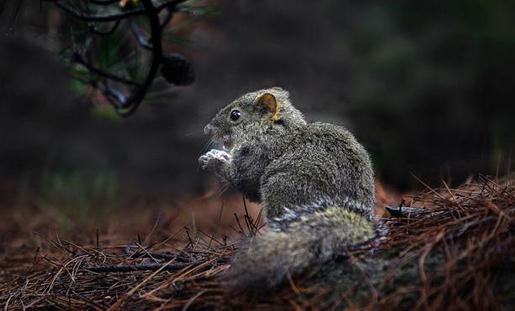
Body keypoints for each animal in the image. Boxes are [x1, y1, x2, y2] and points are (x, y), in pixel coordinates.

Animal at [200, 87, 376, 292]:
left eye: (235, 115)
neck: (272, 129)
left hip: (282, 187)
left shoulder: (259, 155)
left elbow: (243, 179)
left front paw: (213, 160)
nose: (207, 130)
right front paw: (219, 154)